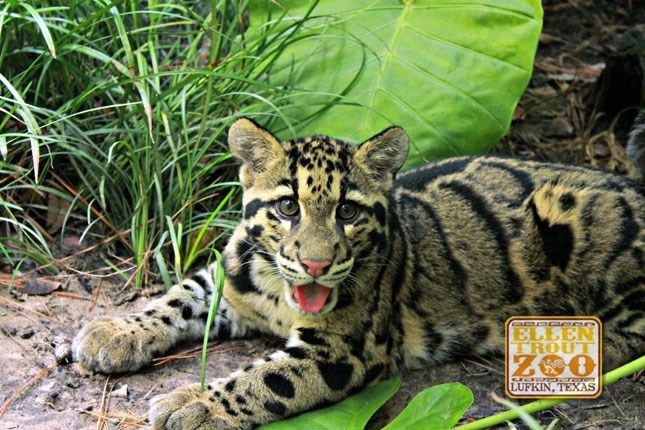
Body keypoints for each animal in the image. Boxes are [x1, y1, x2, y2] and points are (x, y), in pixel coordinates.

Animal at [73, 118, 644, 429]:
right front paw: (113, 330)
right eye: (287, 207)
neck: (279, 291)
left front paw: (194, 404)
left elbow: (260, 379)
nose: (317, 264)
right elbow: (178, 296)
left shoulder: (343, 350)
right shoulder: (229, 284)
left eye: (347, 211)